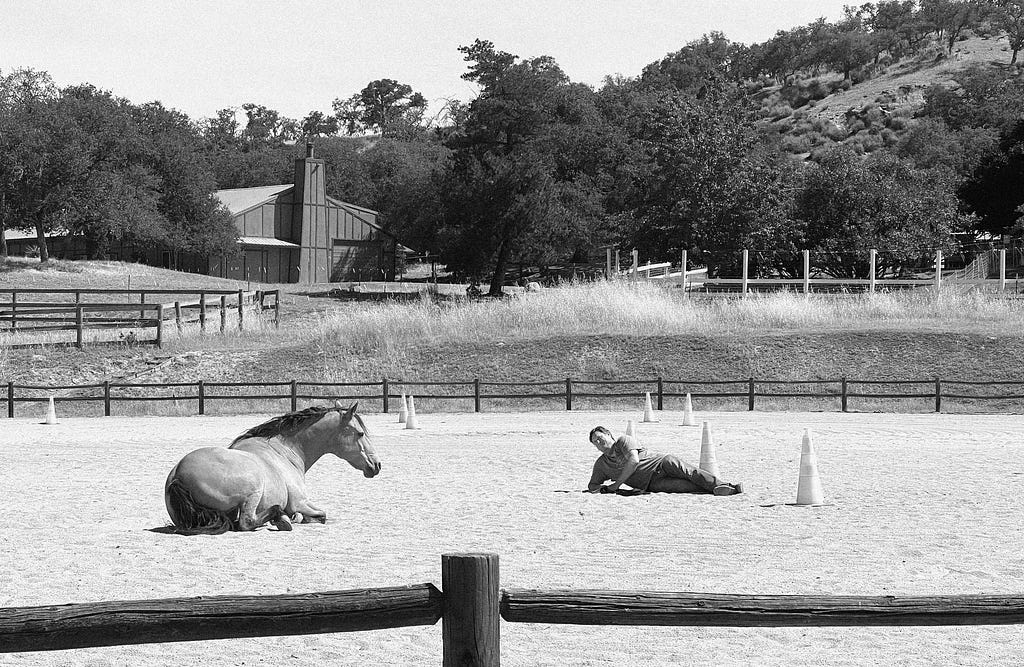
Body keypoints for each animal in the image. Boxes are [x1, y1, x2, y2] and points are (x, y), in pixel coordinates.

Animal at [163, 401, 380, 536]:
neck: (285, 452)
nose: (376, 465)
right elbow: (321, 516)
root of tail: (178, 475)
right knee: (247, 522)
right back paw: (280, 518)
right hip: (254, 489)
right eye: (360, 433)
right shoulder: (301, 502)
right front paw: (295, 518)